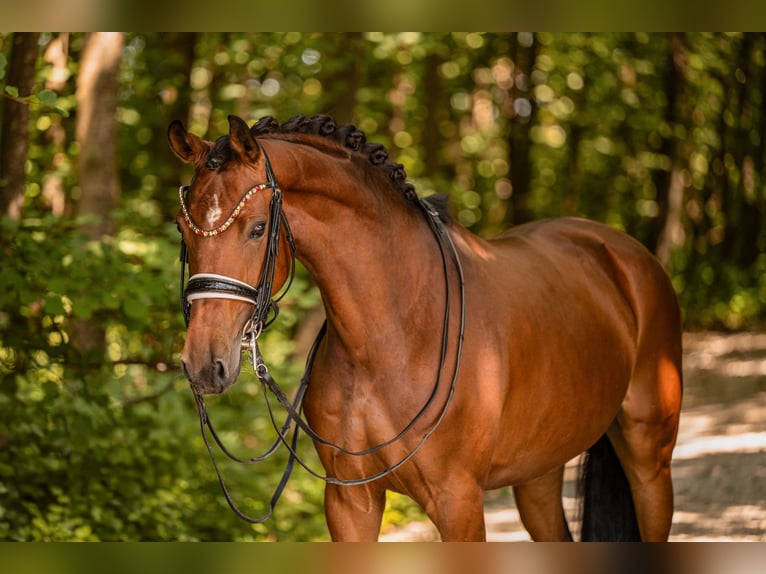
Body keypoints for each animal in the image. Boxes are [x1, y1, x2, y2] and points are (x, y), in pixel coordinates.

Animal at [168, 113, 683, 541]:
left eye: (257, 228)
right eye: (182, 229)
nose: (203, 363)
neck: (393, 337)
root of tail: (622, 252)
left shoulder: (459, 502)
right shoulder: (349, 501)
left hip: (649, 459)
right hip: (539, 471)